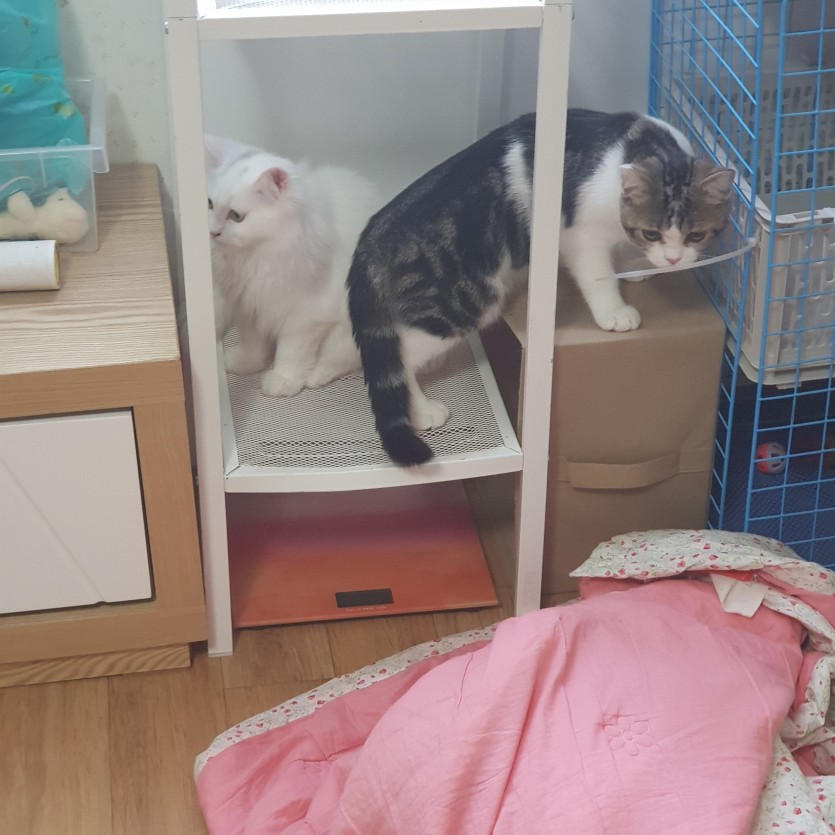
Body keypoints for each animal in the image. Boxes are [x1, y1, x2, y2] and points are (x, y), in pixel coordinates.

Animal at [205, 134, 380, 398]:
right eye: (209, 204)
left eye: (236, 216)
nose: (212, 232)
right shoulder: (248, 305)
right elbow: (253, 343)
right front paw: (247, 363)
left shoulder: (304, 317)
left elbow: (291, 353)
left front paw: (283, 381)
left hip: (349, 334)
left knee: (340, 362)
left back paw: (315, 377)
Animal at [347, 110, 734, 466]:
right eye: (653, 233)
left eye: (696, 235)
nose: (673, 260)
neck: (643, 145)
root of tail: (372, 236)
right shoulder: (581, 233)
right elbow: (596, 274)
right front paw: (614, 310)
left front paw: (634, 266)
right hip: (465, 301)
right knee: (401, 355)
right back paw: (423, 409)